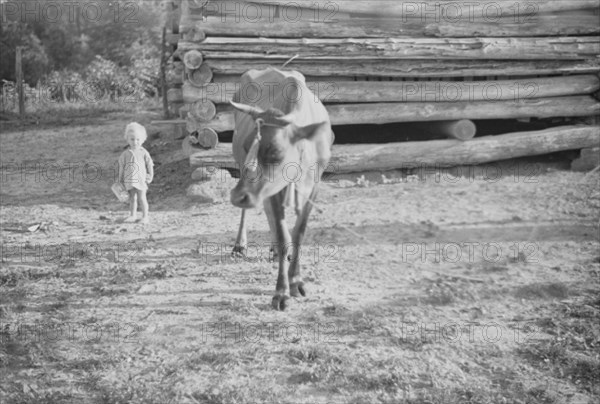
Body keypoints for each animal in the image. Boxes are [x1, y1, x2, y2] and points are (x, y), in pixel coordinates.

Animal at [229, 68, 332, 310]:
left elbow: (299, 232)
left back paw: (274, 251)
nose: (237, 196)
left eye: (275, 152)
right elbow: (285, 236)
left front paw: (296, 281)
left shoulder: (315, 185)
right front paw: (282, 292)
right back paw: (241, 245)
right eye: (247, 145)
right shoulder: (272, 189)